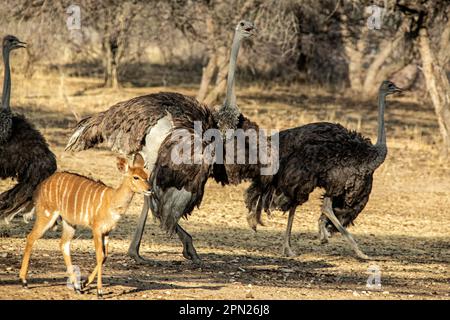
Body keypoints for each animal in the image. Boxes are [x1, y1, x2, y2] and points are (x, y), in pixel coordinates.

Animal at [19, 155, 150, 298]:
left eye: (147, 175)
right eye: (136, 177)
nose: (149, 189)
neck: (112, 201)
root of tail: (41, 185)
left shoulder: (107, 231)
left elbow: (105, 256)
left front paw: (84, 284)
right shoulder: (96, 229)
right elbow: (99, 255)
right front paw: (99, 291)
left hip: (69, 223)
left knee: (63, 244)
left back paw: (76, 287)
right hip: (46, 215)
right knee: (31, 237)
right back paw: (24, 281)